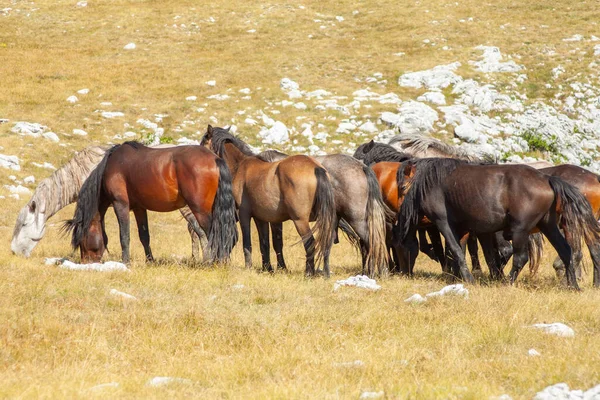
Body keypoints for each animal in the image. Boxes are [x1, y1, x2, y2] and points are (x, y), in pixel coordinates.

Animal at [67, 142, 237, 264]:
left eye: (81, 240)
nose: (86, 262)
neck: (112, 166)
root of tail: (215, 159)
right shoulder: (139, 208)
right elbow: (144, 236)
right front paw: (150, 261)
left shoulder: (120, 205)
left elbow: (124, 235)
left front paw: (125, 262)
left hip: (200, 210)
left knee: (215, 234)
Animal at [200, 126, 338, 276]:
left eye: (203, 143)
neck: (241, 165)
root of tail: (316, 168)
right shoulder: (262, 218)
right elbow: (265, 243)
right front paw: (268, 268)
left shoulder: (244, 214)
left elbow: (247, 243)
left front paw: (249, 267)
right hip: (325, 219)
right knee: (326, 242)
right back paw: (326, 272)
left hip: (300, 220)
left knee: (310, 243)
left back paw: (308, 273)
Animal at [394, 158, 600, 290]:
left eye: (403, 187)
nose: (400, 214)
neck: (435, 181)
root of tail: (548, 179)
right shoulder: (478, 230)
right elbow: (485, 256)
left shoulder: (444, 223)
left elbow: (457, 250)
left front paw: (468, 278)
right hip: (549, 226)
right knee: (567, 250)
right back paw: (573, 285)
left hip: (522, 230)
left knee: (522, 258)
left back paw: (508, 282)